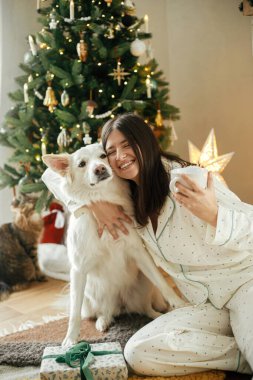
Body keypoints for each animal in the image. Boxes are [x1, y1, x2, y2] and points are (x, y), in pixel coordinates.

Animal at [41, 145, 184, 348]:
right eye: (82, 164)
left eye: (103, 156)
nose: (100, 168)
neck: (104, 198)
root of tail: (121, 305)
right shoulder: (79, 269)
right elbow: (74, 312)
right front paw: (70, 339)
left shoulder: (138, 252)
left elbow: (162, 281)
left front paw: (179, 304)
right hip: (93, 294)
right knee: (103, 311)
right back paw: (103, 322)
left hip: (143, 284)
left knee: (145, 308)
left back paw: (157, 315)